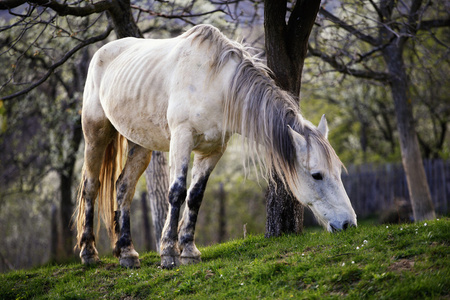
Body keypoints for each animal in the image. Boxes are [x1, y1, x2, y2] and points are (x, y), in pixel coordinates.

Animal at [76, 24, 358, 270]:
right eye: (317, 175)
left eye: (338, 172)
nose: (349, 224)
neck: (214, 83)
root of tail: (102, 51)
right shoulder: (182, 139)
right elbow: (177, 192)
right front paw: (168, 254)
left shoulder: (212, 150)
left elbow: (195, 196)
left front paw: (189, 251)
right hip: (95, 134)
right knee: (91, 186)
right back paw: (89, 253)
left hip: (140, 144)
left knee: (124, 187)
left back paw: (127, 253)